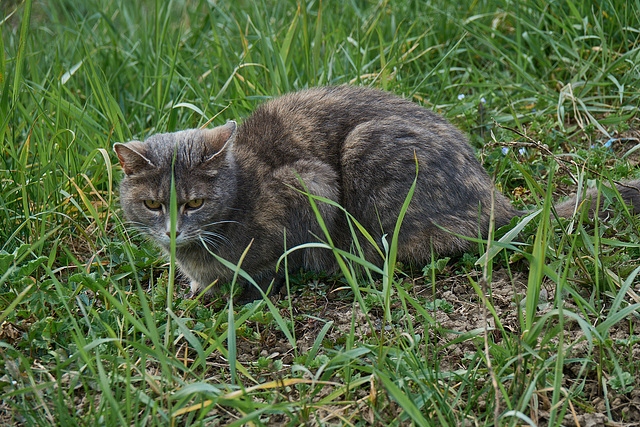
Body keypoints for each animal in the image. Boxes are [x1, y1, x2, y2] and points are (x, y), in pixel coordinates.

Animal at [115, 86, 640, 300]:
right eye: (152, 204)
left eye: (195, 203)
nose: (173, 231)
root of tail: (497, 197)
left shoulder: (309, 184)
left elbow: (274, 259)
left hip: (367, 148)